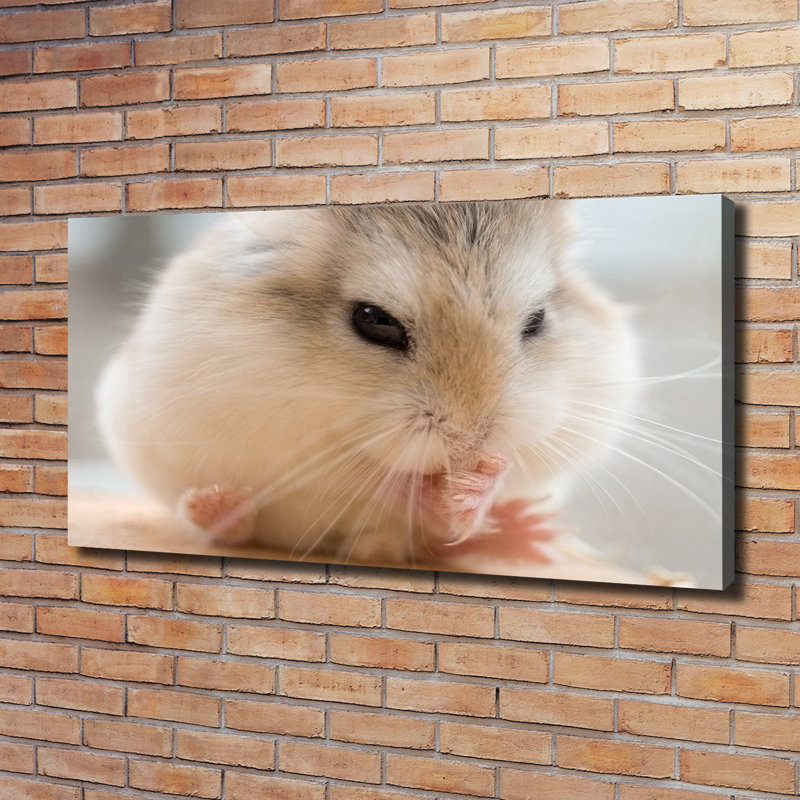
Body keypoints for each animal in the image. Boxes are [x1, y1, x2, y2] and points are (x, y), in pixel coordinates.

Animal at [96, 201, 636, 569]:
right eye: (375, 320)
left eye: (537, 320)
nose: (468, 443)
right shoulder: (281, 438)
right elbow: (363, 474)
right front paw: (435, 488)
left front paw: (474, 488)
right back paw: (217, 508)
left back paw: (529, 530)